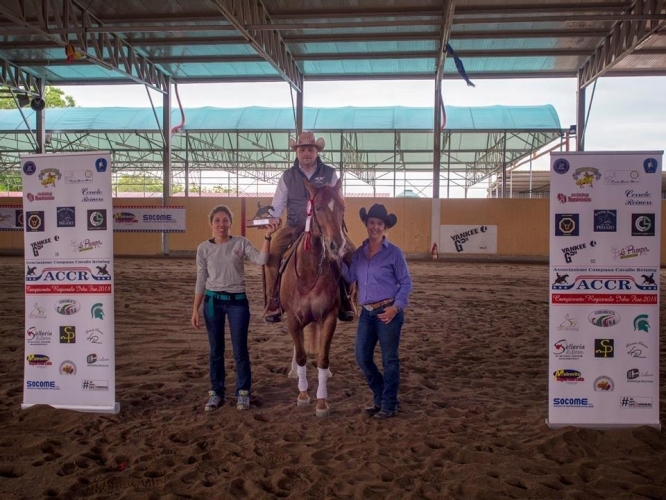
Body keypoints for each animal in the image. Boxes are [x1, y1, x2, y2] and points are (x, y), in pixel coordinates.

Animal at [278, 178, 352, 416]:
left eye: (343, 208)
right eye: (317, 208)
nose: (337, 245)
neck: (309, 271)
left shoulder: (328, 318)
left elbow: (322, 357)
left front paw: (321, 401)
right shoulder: (293, 319)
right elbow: (302, 355)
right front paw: (303, 395)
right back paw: (294, 371)